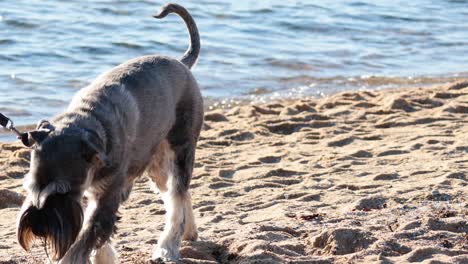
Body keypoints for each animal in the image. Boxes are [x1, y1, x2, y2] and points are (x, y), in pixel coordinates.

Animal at [15, 2, 202, 264]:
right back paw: (189, 232)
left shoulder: (106, 198)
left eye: (61, 191)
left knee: (176, 199)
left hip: (180, 151)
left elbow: (84, 241)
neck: (90, 121)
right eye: (29, 186)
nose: (39, 228)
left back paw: (167, 248)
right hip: (157, 165)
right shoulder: (98, 196)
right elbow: (98, 239)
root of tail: (182, 63)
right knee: (181, 195)